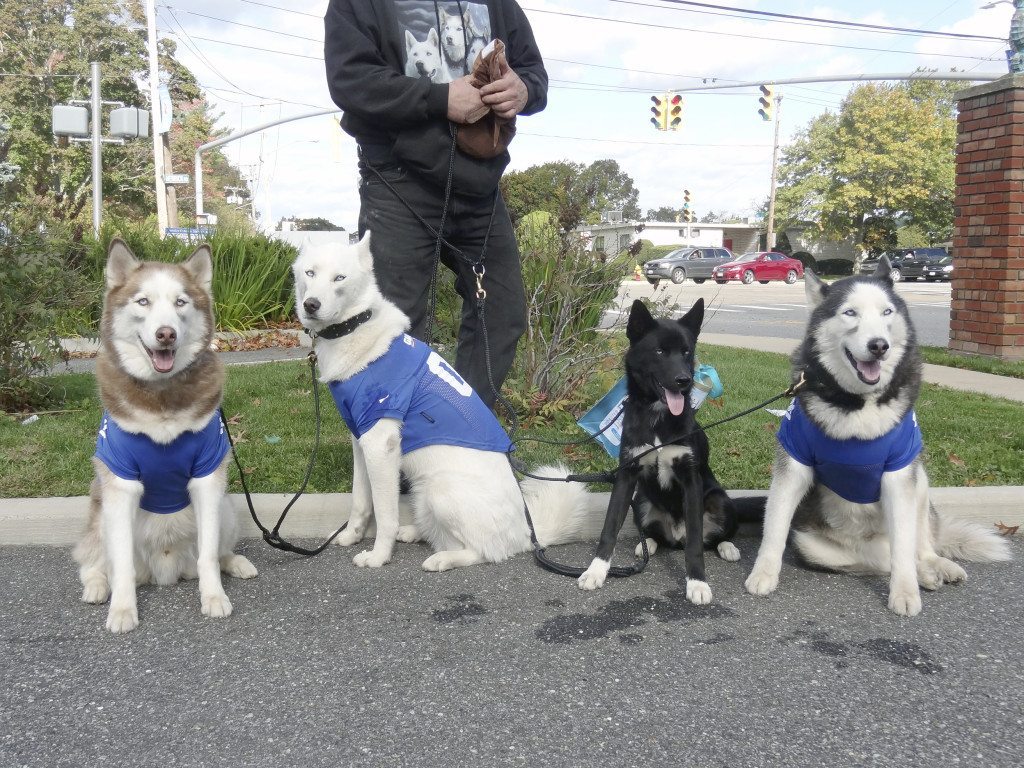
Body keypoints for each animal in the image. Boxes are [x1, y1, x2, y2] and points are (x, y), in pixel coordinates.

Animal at [72, 239, 256, 630]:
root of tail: (167, 569)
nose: (166, 333)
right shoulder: (120, 484)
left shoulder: (207, 478)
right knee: (95, 564)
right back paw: (97, 587)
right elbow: (121, 566)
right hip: (101, 515)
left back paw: (236, 563)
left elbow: (208, 556)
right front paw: (123, 610)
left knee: (216, 553)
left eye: (180, 302)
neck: (162, 398)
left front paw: (213, 597)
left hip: (227, 506)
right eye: (143, 301)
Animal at [292, 234, 593, 573]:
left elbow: (385, 515)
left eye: (339, 278)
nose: (311, 305)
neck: (355, 328)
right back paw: (414, 532)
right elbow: (359, 501)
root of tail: (527, 532)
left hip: (440, 491)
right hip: (423, 493)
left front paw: (379, 556)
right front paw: (351, 536)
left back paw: (442, 558)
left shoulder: (381, 447)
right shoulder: (361, 440)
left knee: (484, 552)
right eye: (310, 273)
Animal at [577, 296, 737, 606]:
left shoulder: (691, 480)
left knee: (712, 537)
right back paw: (647, 544)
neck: (657, 417)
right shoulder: (627, 475)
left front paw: (697, 583)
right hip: (641, 499)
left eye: (686, 352)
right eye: (660, 351)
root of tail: (676, 537)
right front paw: (596, 571)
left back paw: (728, 547)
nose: (684, 380)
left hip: (719, 499)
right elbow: (609, 527)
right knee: (654, 534)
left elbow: (696, 543)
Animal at [745, 259, 1007, 618]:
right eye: (849, 313)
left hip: (920, 484)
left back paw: (936, 567)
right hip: (814, 546)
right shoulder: (794, 464)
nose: (879, 345)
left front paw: (905, 592)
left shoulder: (899, 474)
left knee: (916, 546)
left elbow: (905, 546)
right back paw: (927, 575)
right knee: (881, 560)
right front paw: (763, 574)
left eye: (886, 312)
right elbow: (774, 527)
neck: (859, 405)